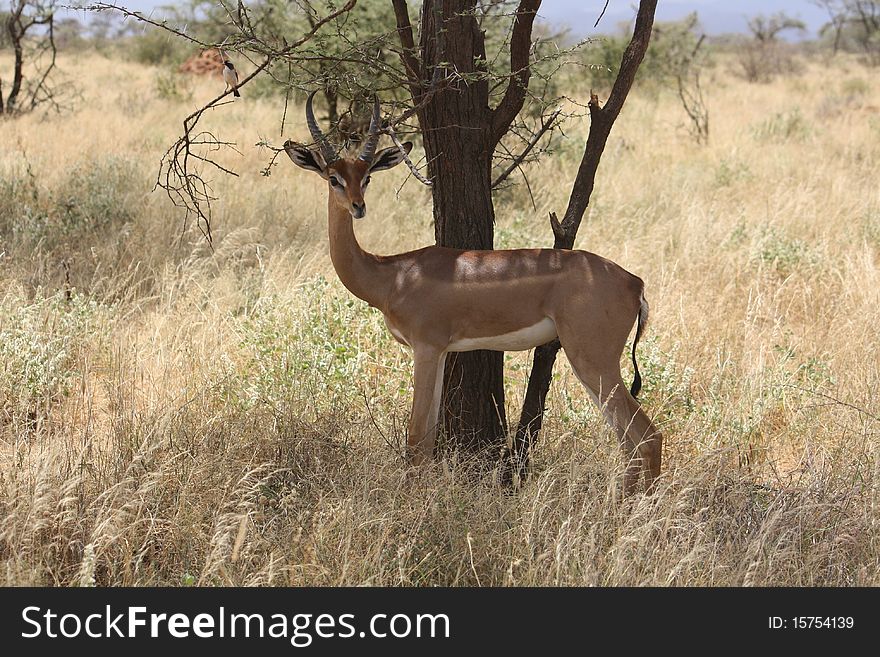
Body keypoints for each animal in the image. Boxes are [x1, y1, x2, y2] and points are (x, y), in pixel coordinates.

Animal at [286, 92, 664, 492]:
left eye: (367, 176)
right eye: (334, 178)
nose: (358, 207)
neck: (391, 275)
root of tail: (634, 282)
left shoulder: (426, 347)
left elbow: (416, 440)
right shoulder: (440, 353)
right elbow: (427, 440)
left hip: (593, 359)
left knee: (646, 436)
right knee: (629, 441)